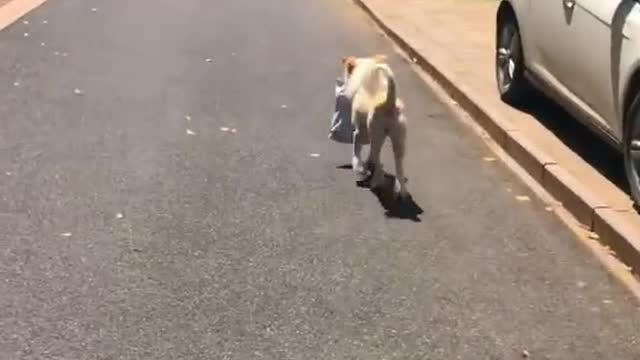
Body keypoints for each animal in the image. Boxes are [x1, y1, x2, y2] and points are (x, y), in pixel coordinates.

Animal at [342, 54, 408, 200]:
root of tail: (389, 102)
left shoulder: (359, 133)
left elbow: (357, 152)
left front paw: (360, 168)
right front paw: (366, 165)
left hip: (375, 133)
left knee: (377, 157)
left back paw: (376, 181)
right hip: (398, 139)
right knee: (399, 167)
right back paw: (401, 191)